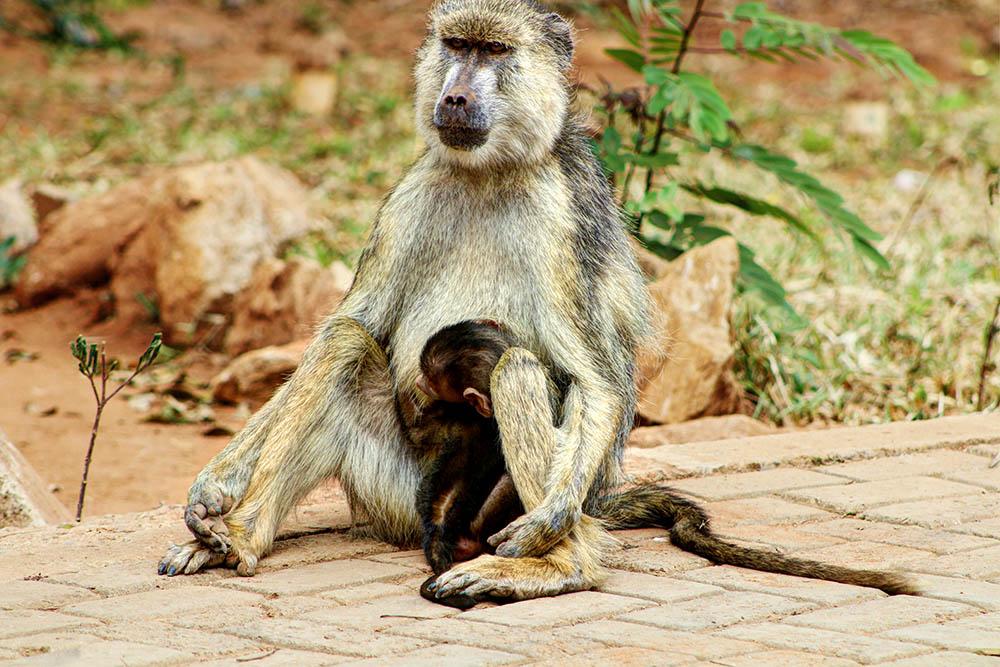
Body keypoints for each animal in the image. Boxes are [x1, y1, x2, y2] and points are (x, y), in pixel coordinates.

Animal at [158, 0, 915, 603]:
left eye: (495, 53)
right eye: (457, 46)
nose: (455, 98)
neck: (490, 172)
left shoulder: (561, 214)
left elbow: (592, 378)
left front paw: (548, 529)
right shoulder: (411, 193)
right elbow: (355, 321)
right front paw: (211, 491)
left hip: (514, 502)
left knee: (518, 369)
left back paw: (556, 564)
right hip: (393, 492)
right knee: (346, 345)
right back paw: (238, 538)